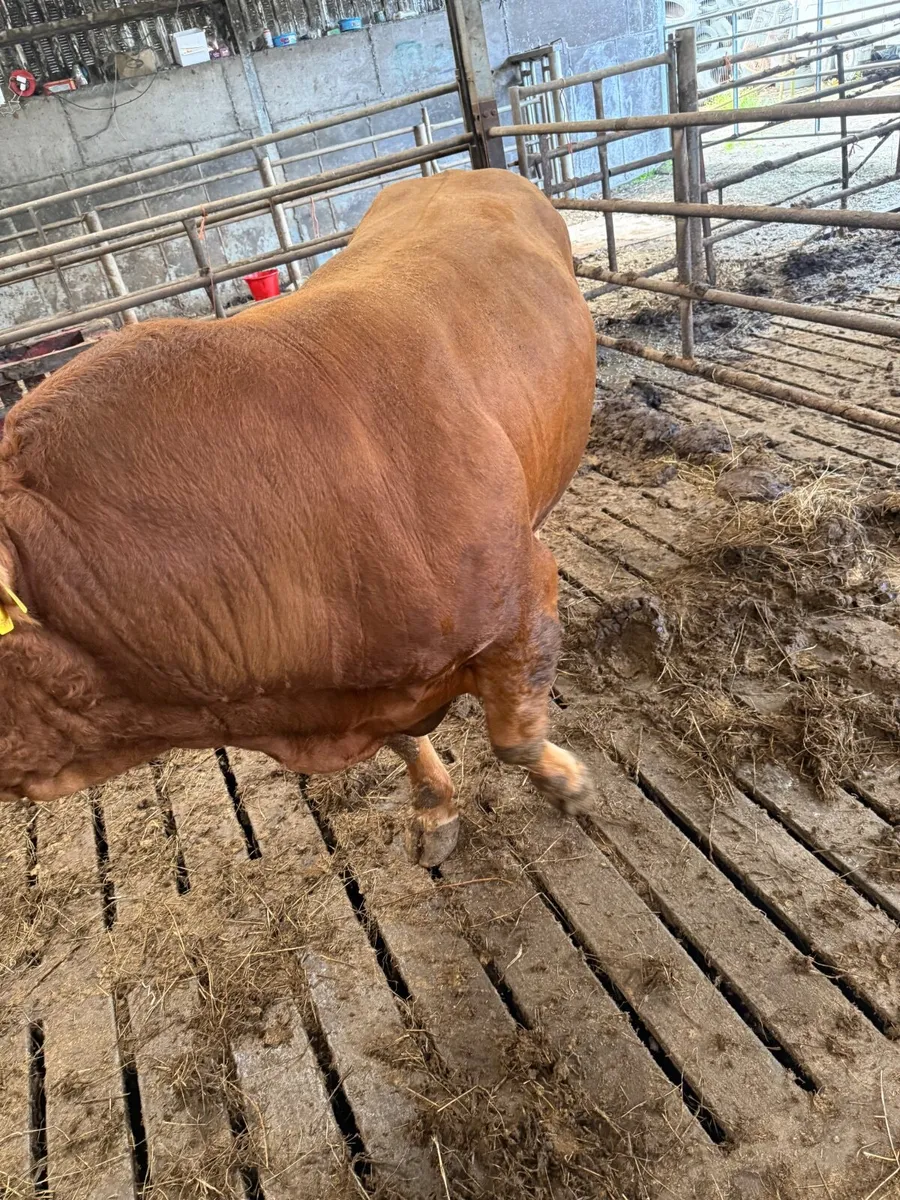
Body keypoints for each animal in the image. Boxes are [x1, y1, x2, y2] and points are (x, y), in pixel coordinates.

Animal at [0, 167, 596, 867]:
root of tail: (460, 170)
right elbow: (409, 742)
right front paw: (434, 809)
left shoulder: (520, 600)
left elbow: (515, 737)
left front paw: (568, 785)